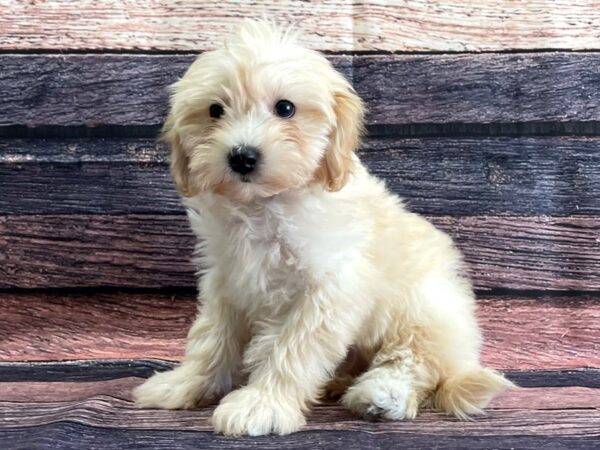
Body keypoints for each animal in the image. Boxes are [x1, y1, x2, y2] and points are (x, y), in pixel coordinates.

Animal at [134, 19, 512, 434]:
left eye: (285, 108)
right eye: (215, 110)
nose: (243, 156)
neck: (266, 205)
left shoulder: (328, 288)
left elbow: (293, 349)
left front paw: (261, 405)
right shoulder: (227, 281)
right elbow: (211, 340)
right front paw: (185, 383)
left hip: (425, 307)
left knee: (414, 361)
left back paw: (381, 395)